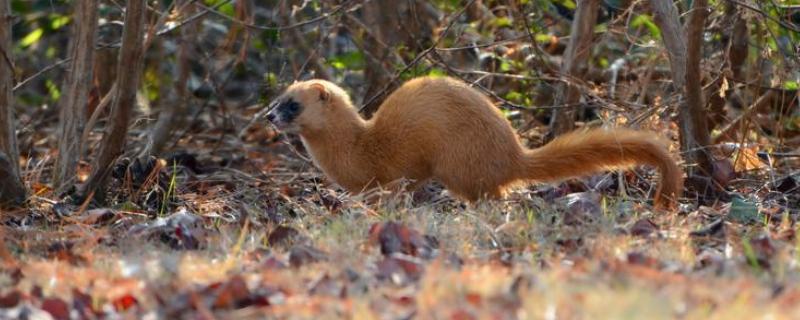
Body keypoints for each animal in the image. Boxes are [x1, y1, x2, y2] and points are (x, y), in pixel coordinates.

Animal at [268, 76, 680, 209]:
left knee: (493, 193)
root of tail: (513, 152)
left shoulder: (389, 175)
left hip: (457, 164)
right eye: (277, 97)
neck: (357, 147)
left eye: (292, 104)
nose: (268, 116)